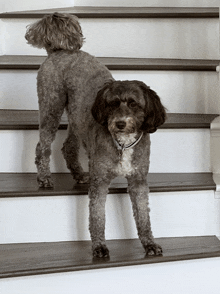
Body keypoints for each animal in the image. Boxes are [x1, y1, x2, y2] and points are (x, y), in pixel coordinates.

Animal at [25, 12, 166, 258]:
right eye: (111, 104)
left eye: (134, 104)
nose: (119, 123)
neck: (123, 144)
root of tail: (59, 51)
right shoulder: (100, 182)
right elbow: (97, 217)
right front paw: (99, 246)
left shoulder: (139, 181)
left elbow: (143, 217)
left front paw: (149, 243)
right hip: (52, 104)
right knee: (42, 145)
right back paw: (44, 177)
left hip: (76, 117)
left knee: (68, 146)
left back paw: (79, 173)